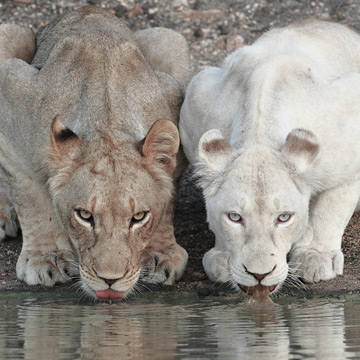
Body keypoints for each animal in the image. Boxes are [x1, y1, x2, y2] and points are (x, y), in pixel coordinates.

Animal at [180, 20, 360, 296]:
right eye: (235, 217)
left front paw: (315, 258)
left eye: (283, 217)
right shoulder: (196, 96)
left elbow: (331, 207)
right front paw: (222, 257)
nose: (259, 275)